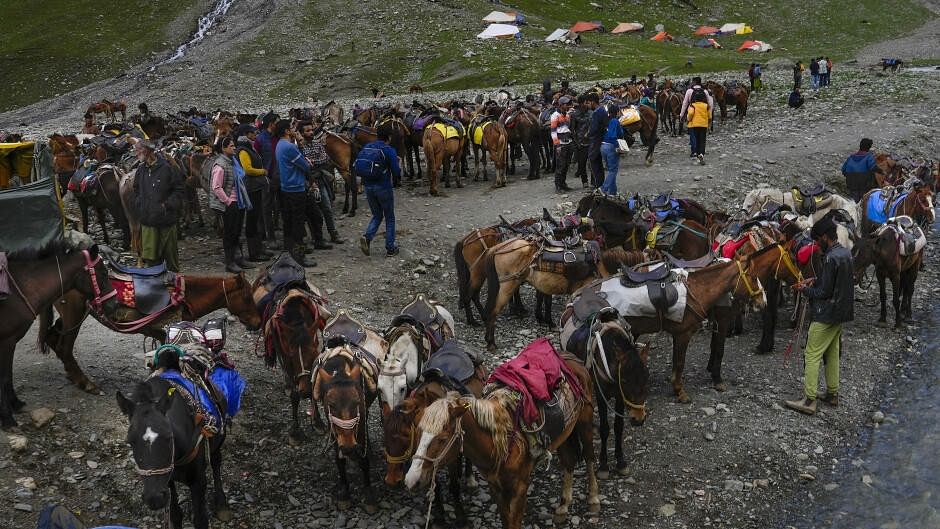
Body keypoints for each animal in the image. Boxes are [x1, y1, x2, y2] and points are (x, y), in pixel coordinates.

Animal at [1, 239, 116, 424]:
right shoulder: (6, 341)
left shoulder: (10, 341)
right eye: (103, 272)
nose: (115, 304)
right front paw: (7, 418)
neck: (19, 288)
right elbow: (3, 378)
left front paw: (15, 404)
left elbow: (8, 375)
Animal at [38, 272, 258, 396]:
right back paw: (86, 384)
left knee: (53, 339)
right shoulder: (164, 332)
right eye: (247, 297)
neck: (185, 296)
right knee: (64, 347)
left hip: (70, 316)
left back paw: (72, 376)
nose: (257, 323)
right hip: (74, 314)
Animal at [310, 340, 380, 510]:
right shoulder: (333, 427)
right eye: (331, 405)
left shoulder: (360, 423)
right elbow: (339, 459)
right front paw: (345, 492)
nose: (348, 447)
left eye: (357, 402)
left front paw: (369, 494)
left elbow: (364, 460)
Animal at [560, 312, 648, 476]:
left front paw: (621, 462)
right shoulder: (601, 396)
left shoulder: (620, 397)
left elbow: (618, 427)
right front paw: (603, 465)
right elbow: (605, 428)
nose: (638, 419)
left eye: (646, 378)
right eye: (624, 380)